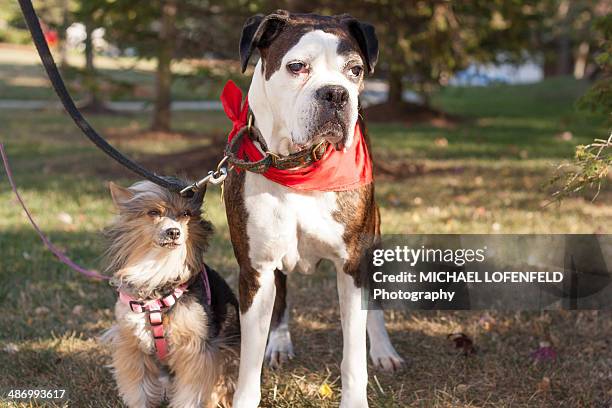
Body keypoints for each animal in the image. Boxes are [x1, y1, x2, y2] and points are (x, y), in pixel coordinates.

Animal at [104, 181, 238, 408]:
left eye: (186, 214)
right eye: (153, 212)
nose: (174, 232)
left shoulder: (194, 348)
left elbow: (190, 393)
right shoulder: (131, 345)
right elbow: (139, 389)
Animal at [225, 9, 406, 408]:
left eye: (355, 70)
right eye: (297, 67)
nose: (335, 93)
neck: (298, 166)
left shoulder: (352, 267)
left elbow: (353, 356)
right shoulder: (255, 271)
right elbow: (249, 359)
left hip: (374, 244)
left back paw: (384, 349)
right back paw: (278, 342)